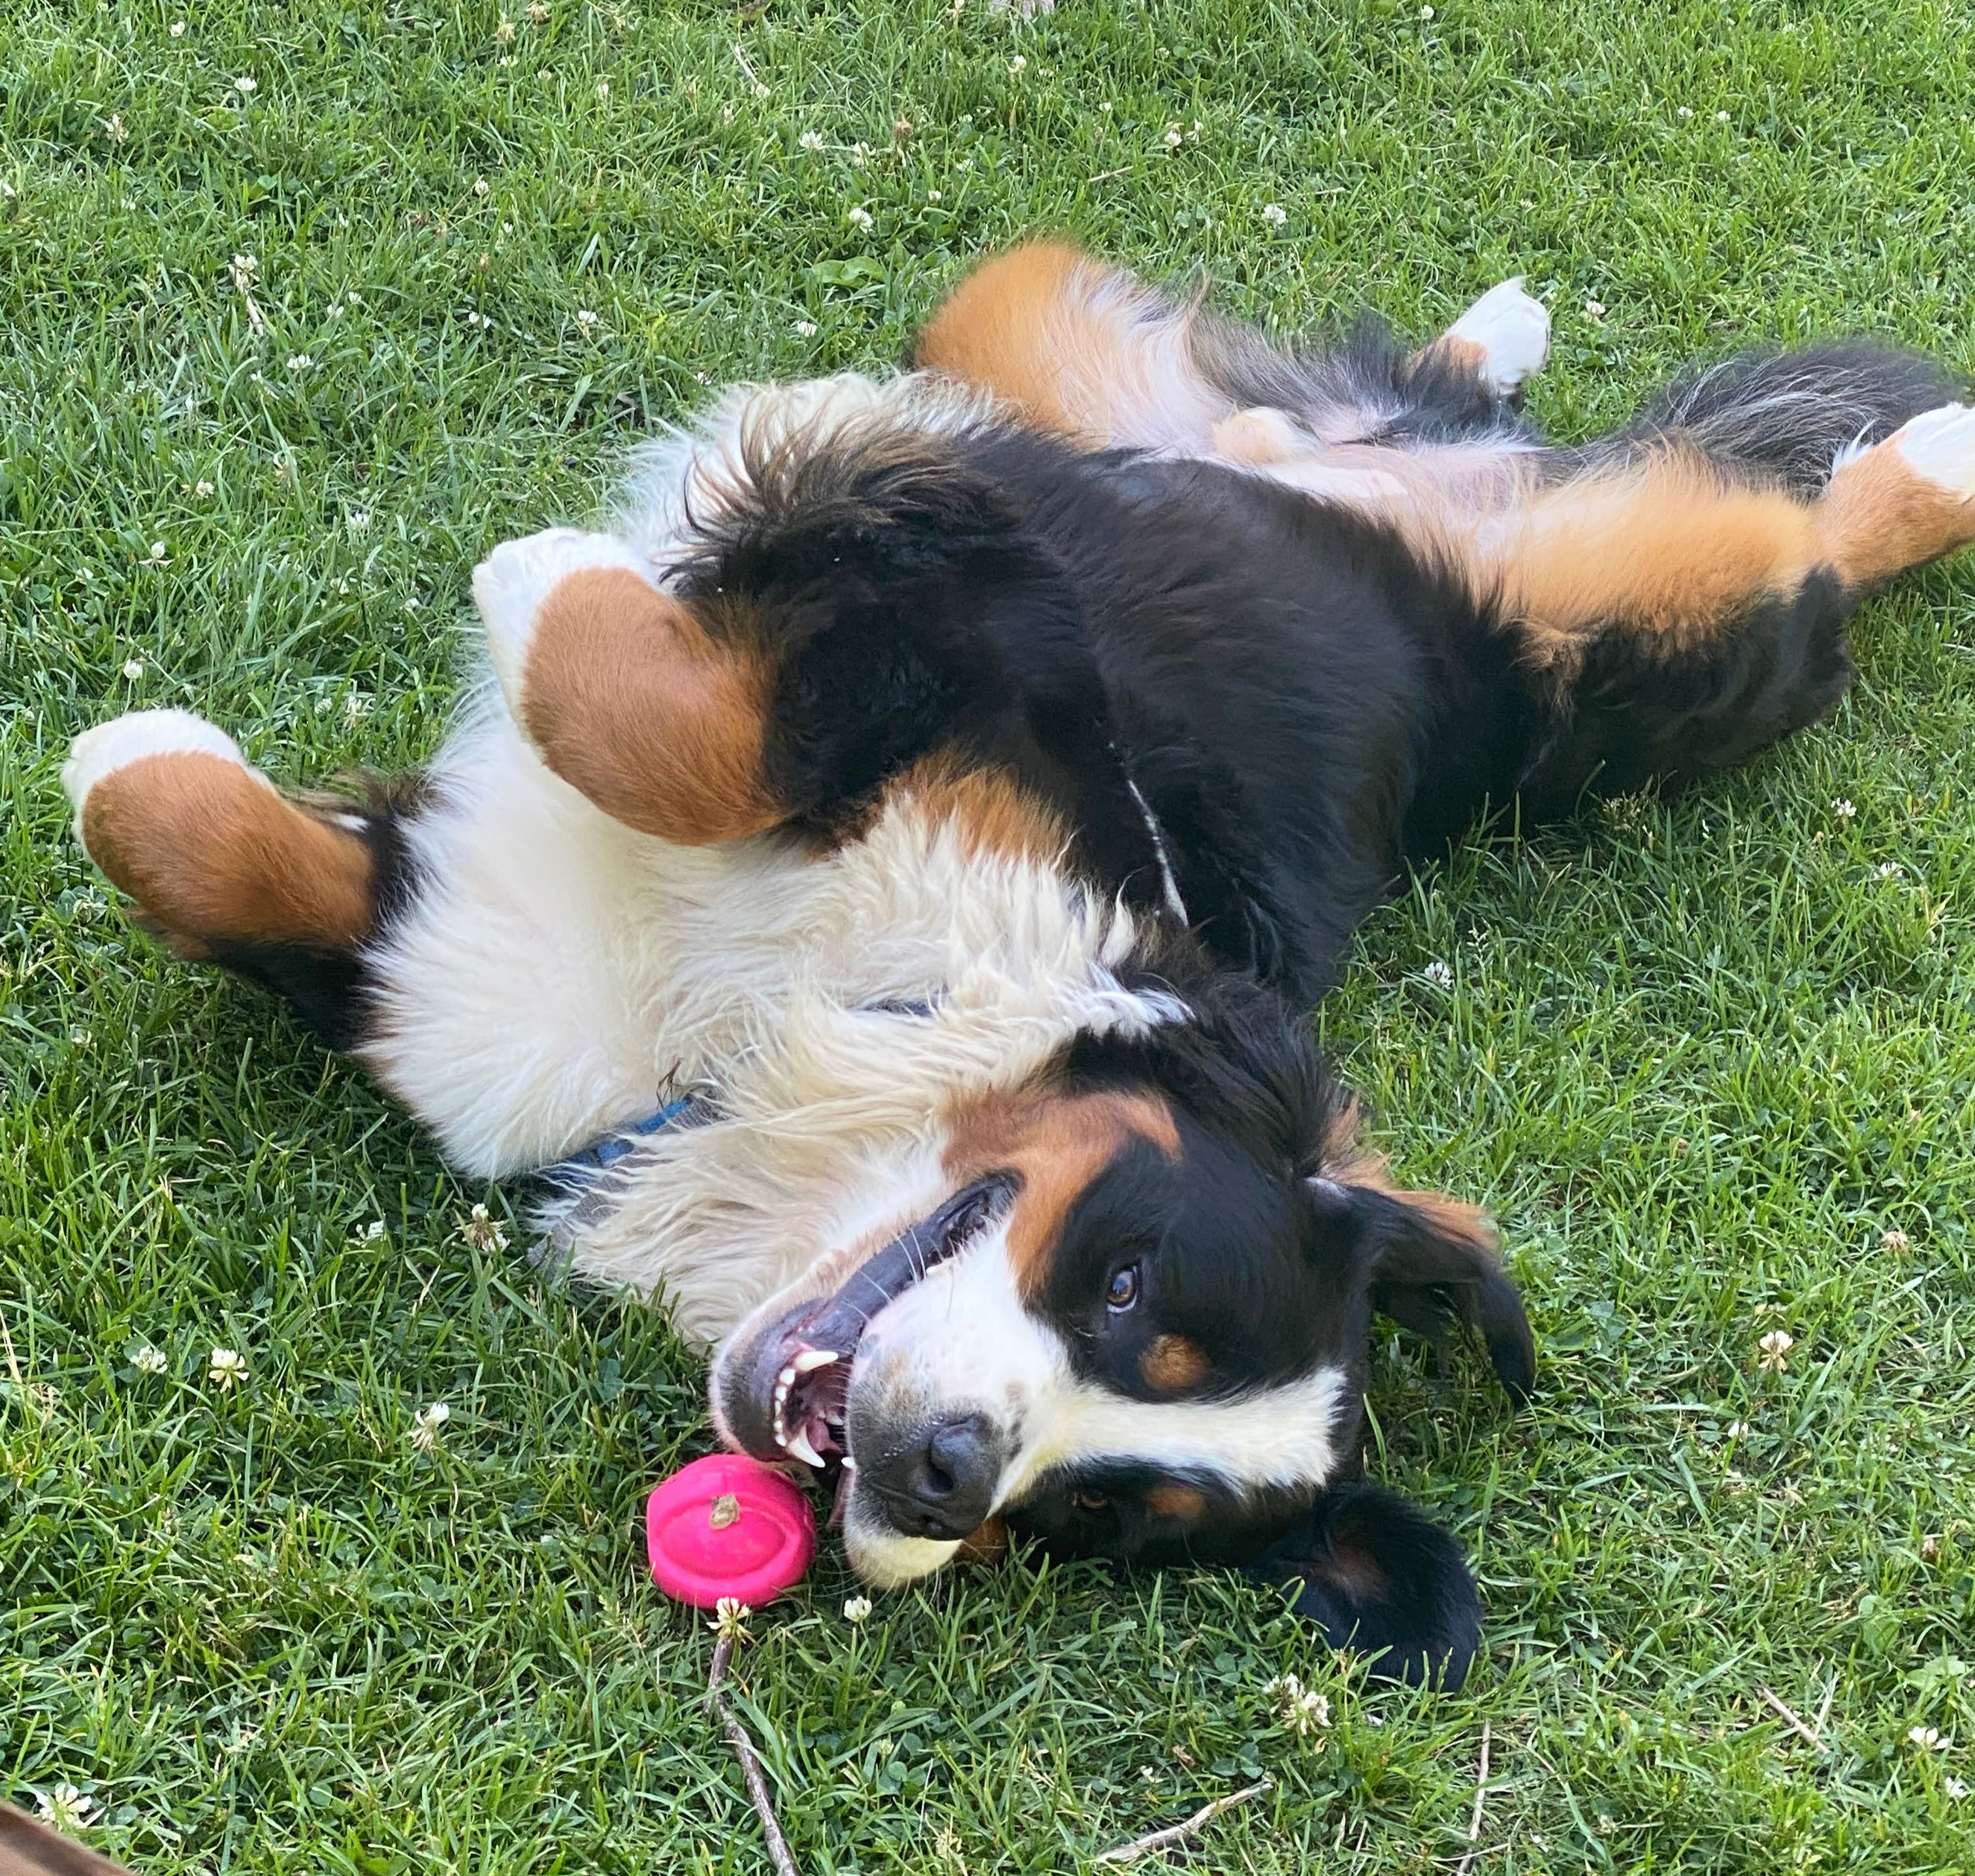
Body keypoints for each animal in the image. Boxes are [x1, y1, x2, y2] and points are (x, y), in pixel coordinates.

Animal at [61, 242, 1975, 1698]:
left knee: (1820, 526)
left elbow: (250, 834)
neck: (761, 1042)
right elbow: (614, 746)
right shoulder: (977, 602)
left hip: (1678, 643)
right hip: (1081, 367)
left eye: (1088, 1516)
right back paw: (1561, 345)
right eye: (1127, 1285)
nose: (936, 1474)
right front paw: (511, 591)